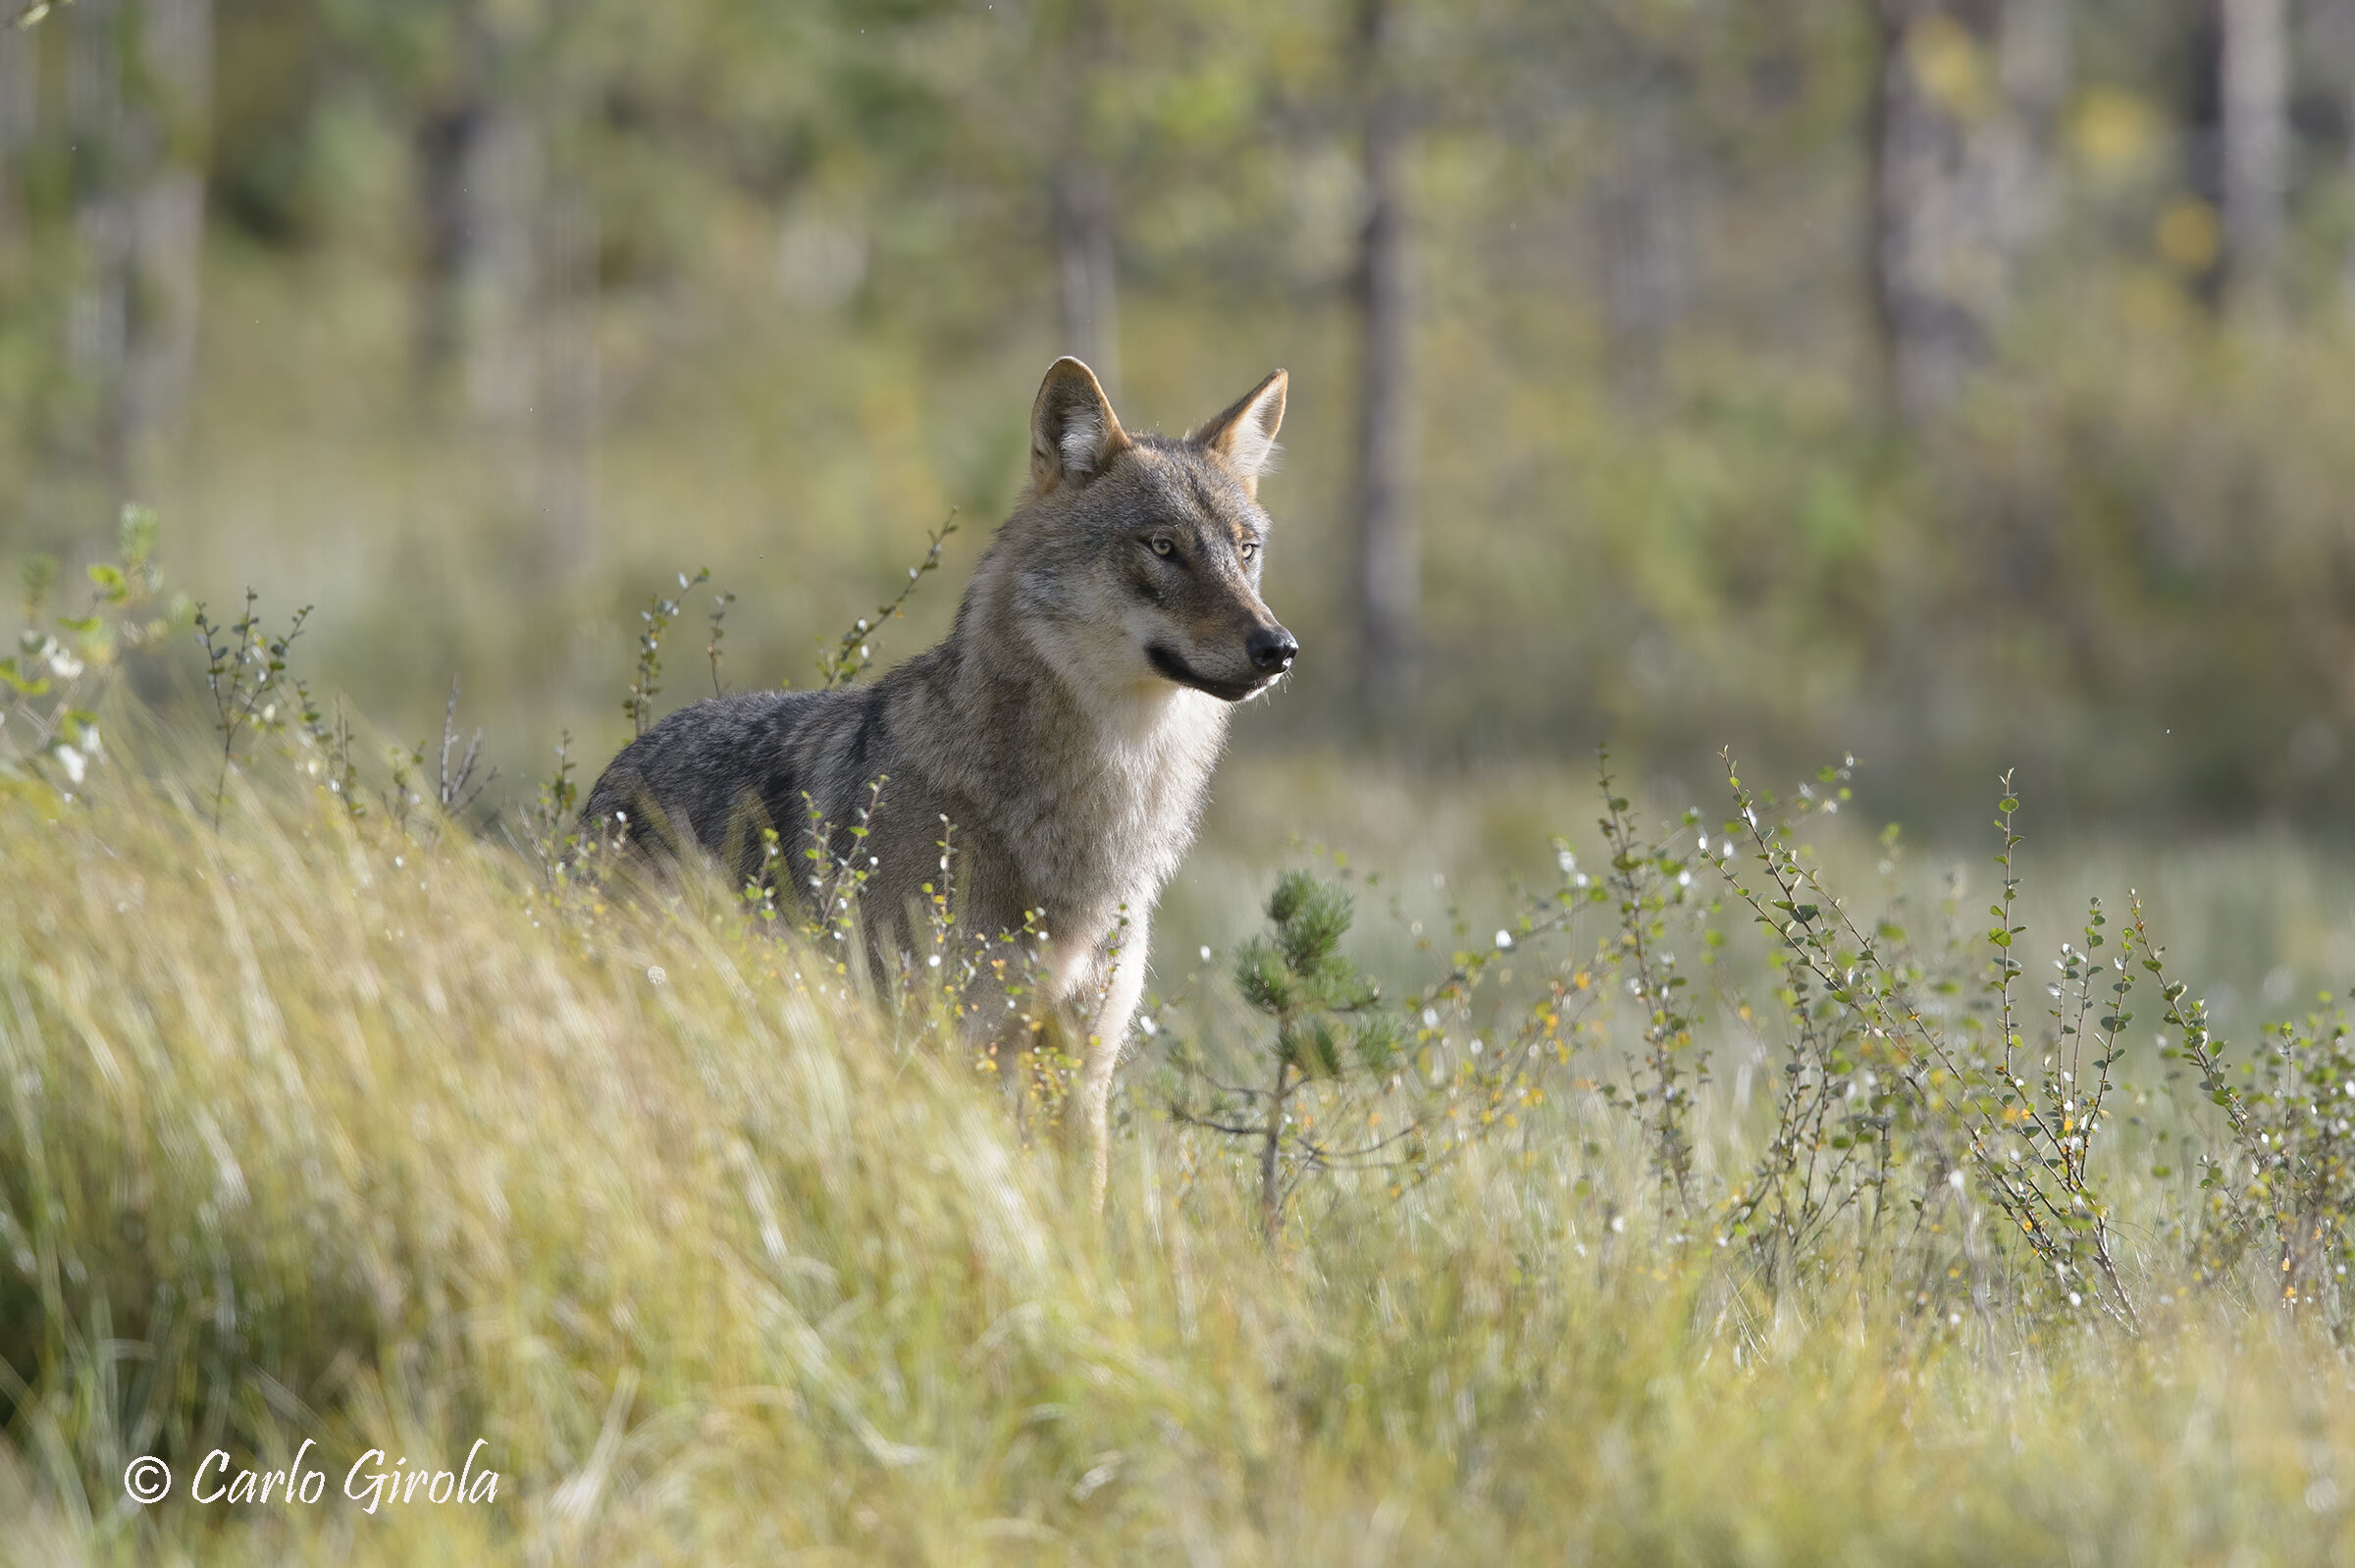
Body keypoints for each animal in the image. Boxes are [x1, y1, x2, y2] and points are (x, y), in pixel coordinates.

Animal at [583, 357, 1297, 1208]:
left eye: (1246, 551)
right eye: (1163, 547)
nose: (1279, 647)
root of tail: (613, 771)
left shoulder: (1079, 1072)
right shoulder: (936, 1049)